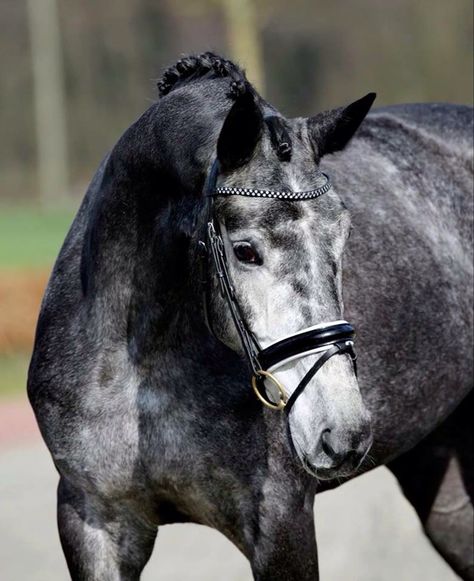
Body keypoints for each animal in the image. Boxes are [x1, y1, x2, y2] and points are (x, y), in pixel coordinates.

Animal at [26, 52, 474, 576]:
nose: (342, 433)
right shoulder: (93, 520)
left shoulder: (280, 523)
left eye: (344, 235)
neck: (140, 369)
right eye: (245, 251)